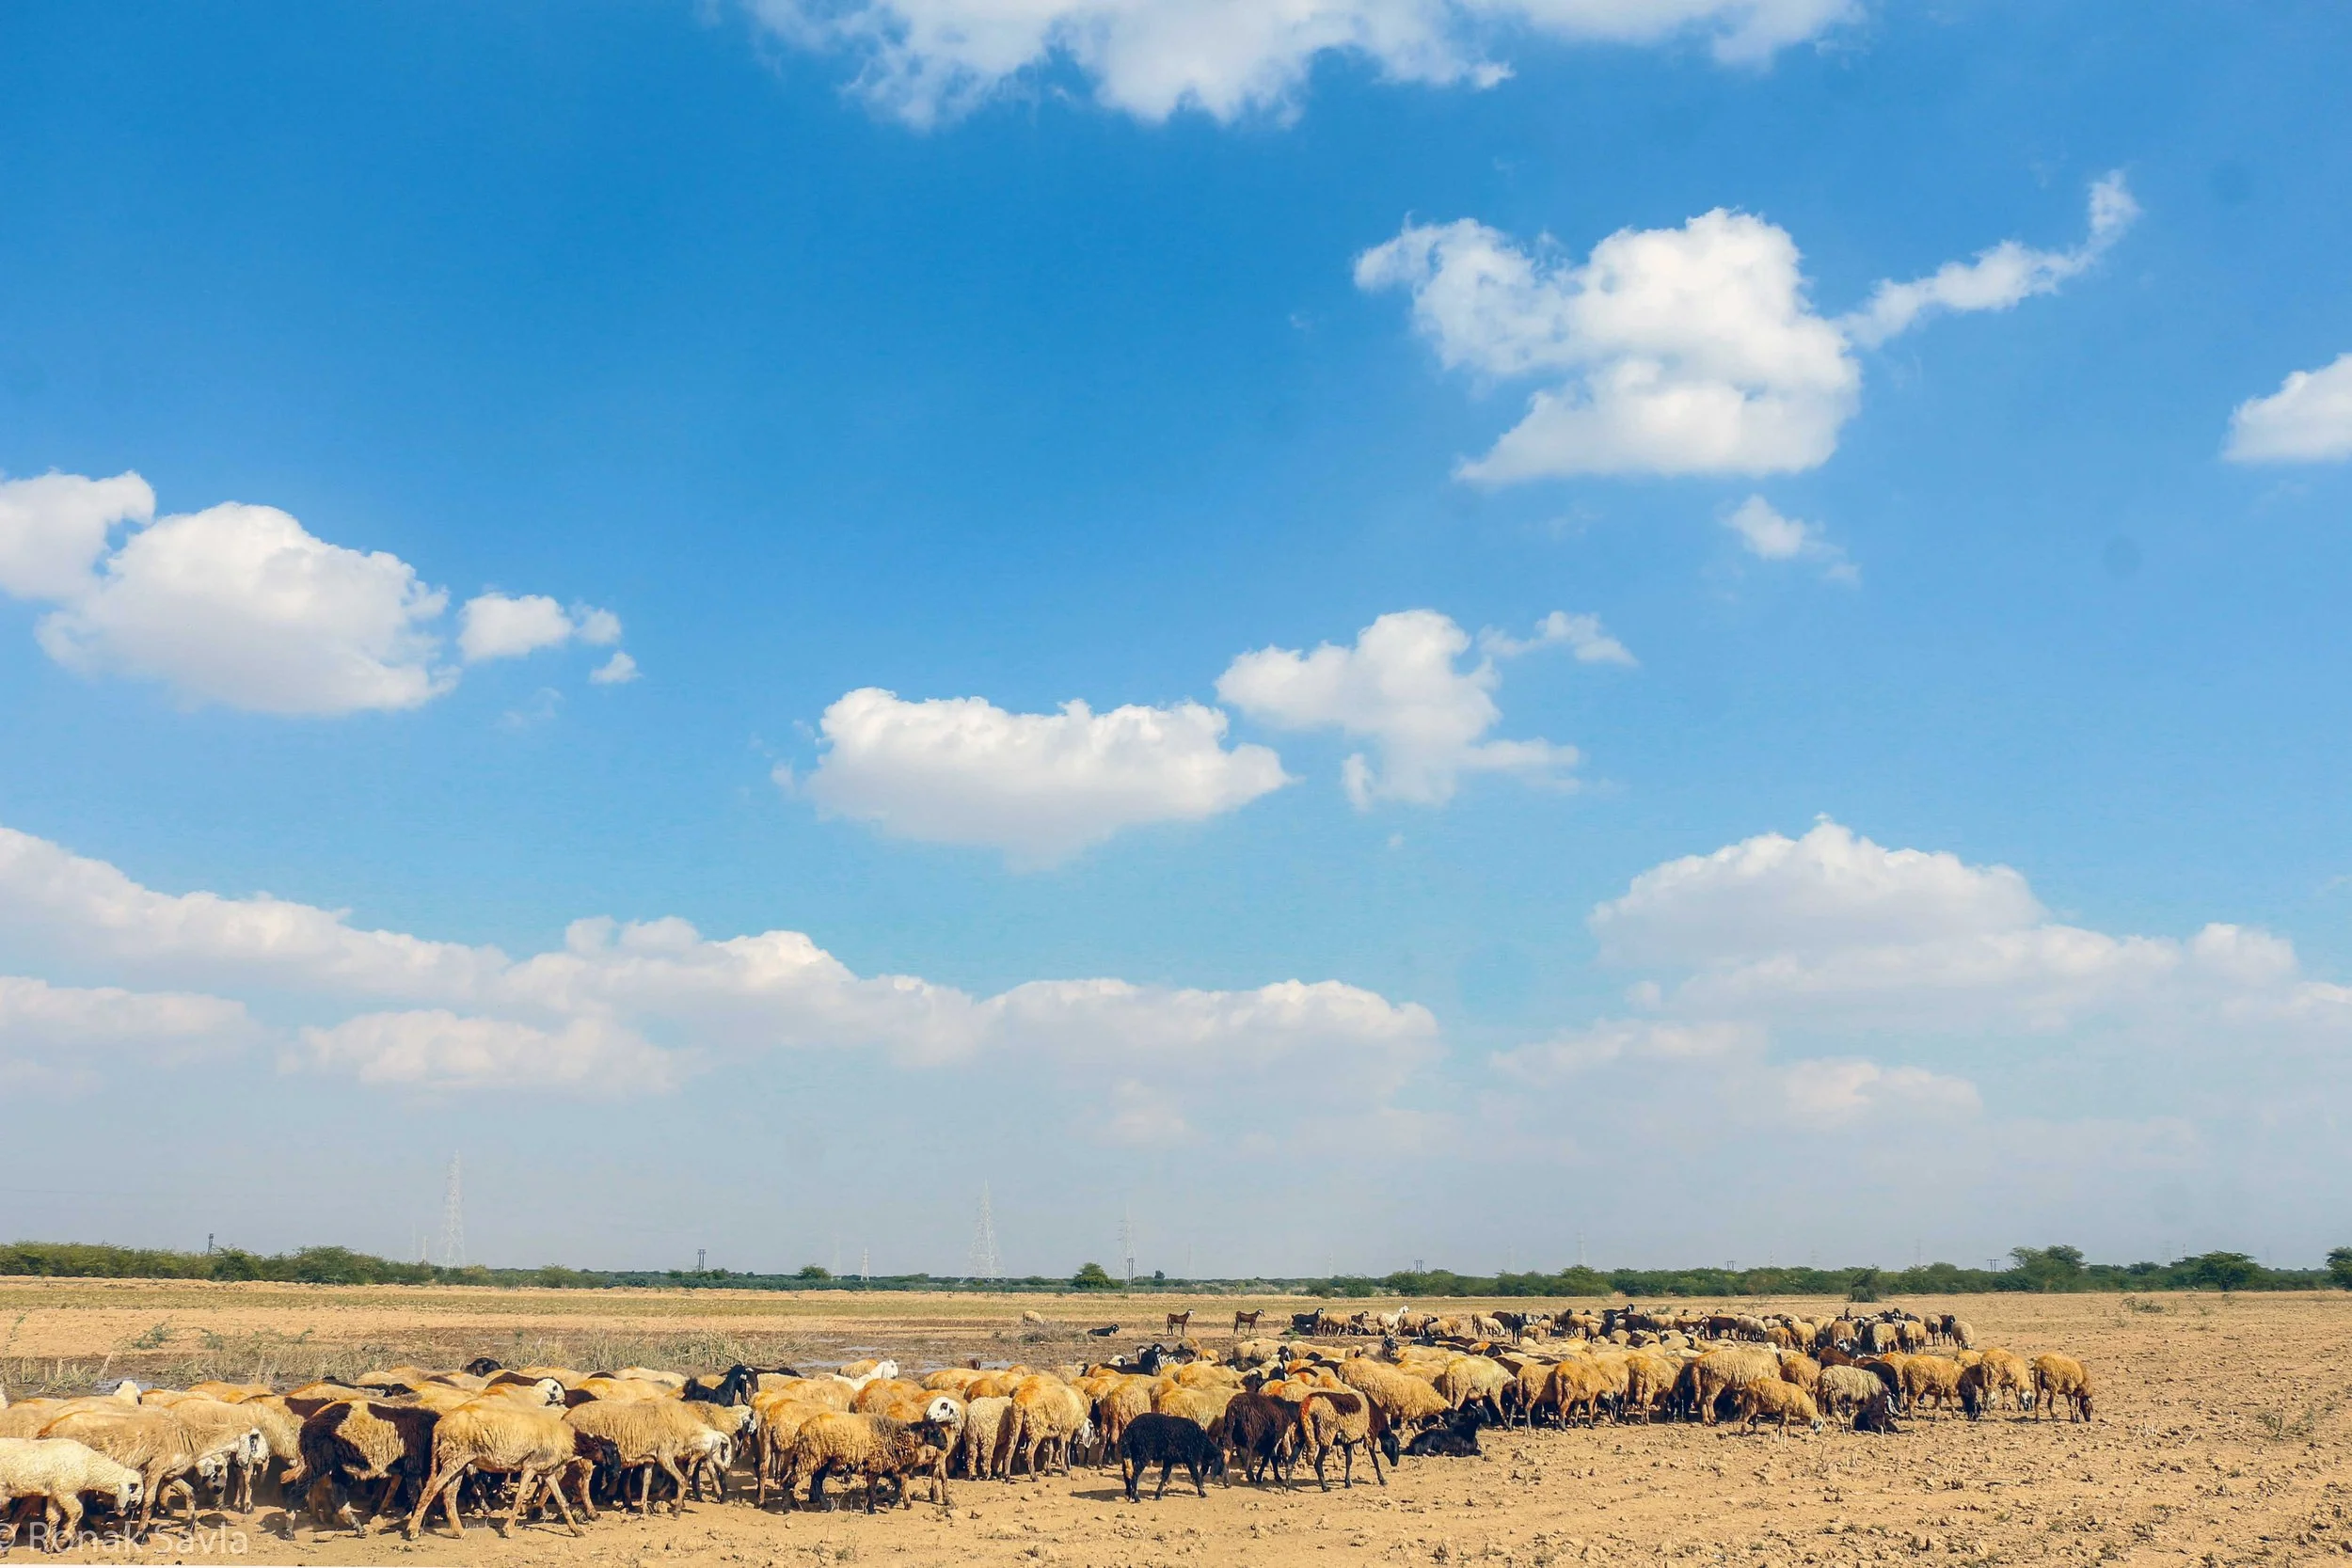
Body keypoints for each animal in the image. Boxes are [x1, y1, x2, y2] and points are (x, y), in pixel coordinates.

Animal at [0, 1437, 144, 1549]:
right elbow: (77, 1511)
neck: (89, 1467)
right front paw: (63, 1540)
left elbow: (54, 1517)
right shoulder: (66, 1492)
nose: (135, 1505)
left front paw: (50, 1545)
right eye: (134, 1490)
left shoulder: (55, 1493)